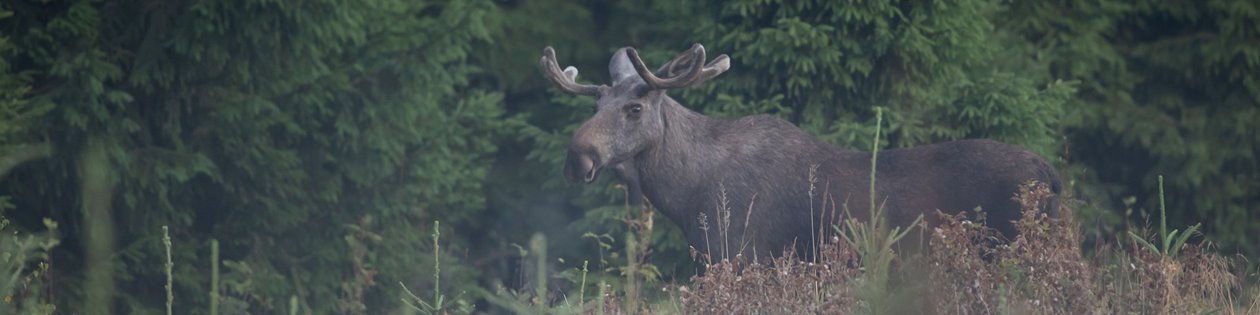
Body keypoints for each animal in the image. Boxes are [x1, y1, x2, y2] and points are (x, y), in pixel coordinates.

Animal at [536, 43, 1058, 260]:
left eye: (635, 107)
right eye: (597, 104)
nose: (577, 158)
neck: (686, 196)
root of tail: (1051, 174)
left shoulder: (741, 255)